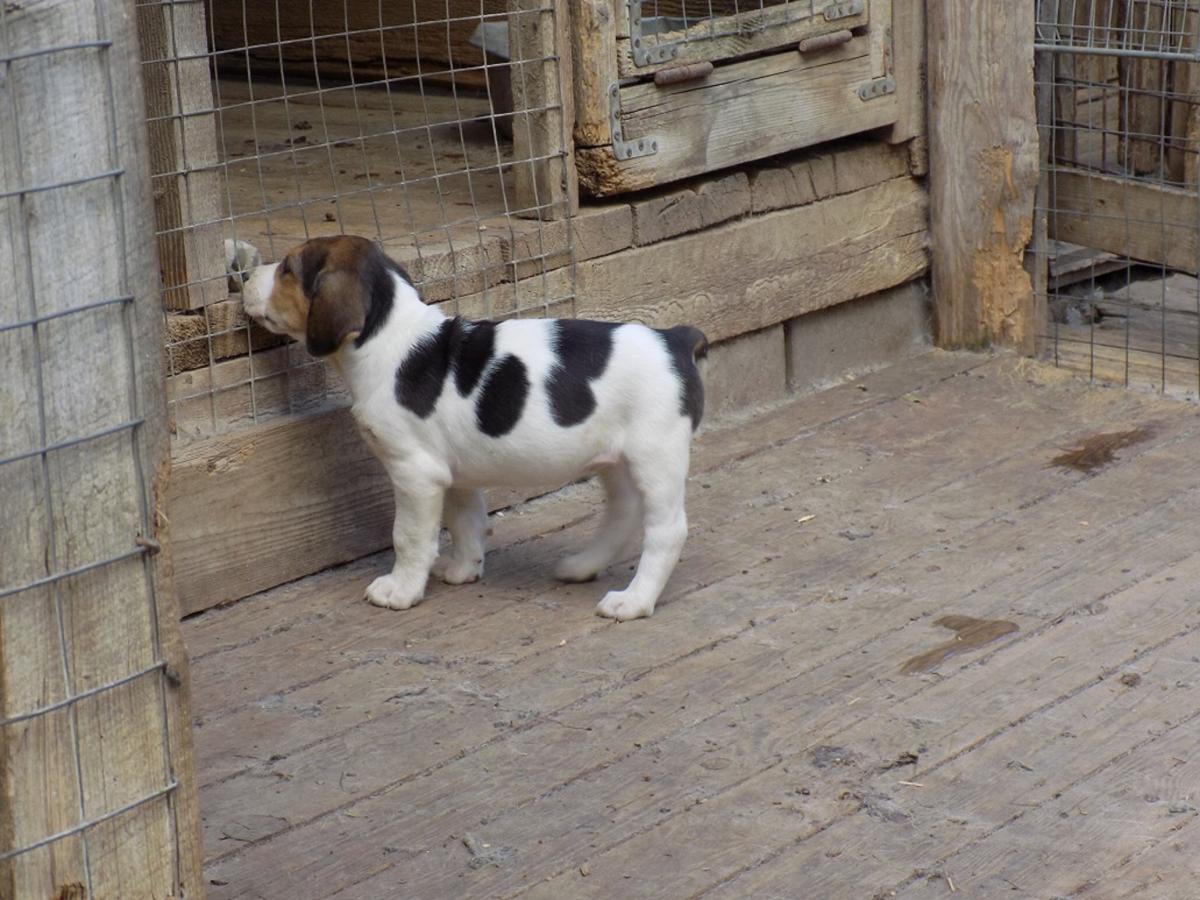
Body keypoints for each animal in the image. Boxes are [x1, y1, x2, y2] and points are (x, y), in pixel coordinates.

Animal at [240, 236, 705, 624]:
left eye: (287, 269)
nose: (244, 278)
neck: (389, 338)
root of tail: (675, 339)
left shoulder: (415, 474)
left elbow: (409, 537)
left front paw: (401, 590)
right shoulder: (454, 473)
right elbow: (466, 522)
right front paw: (465, 569)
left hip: (655, 458)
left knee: (667, 531)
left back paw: (634, 601)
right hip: (617, 462)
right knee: (623, 512)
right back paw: (582, 566)